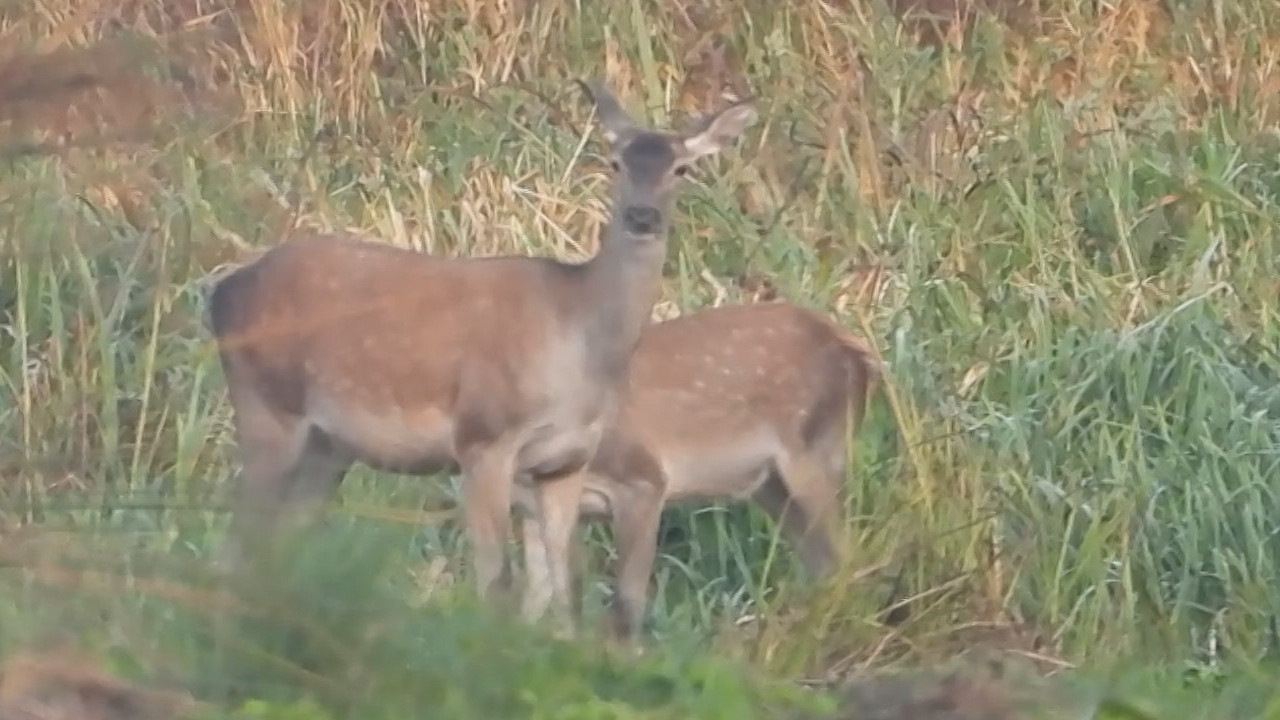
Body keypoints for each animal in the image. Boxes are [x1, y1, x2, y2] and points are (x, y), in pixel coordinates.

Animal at [203, 79, 752, 627]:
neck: (579, 341)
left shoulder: (565, 461)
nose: (643, 217)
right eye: (615, 161)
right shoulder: (483, 436)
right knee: (235, 545)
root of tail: (221, 293)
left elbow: (566, 589)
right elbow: (497, 582)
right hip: (268, 406)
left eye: (682, 168)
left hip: (328, 444)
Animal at [509, 297, 880, 638]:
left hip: (816, 452)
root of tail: (860, 354)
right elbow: (535, 599)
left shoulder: (642, 479)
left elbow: (627, 600)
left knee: (846, 558)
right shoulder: (532, 507)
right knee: (824, 561)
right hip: (771, 485)